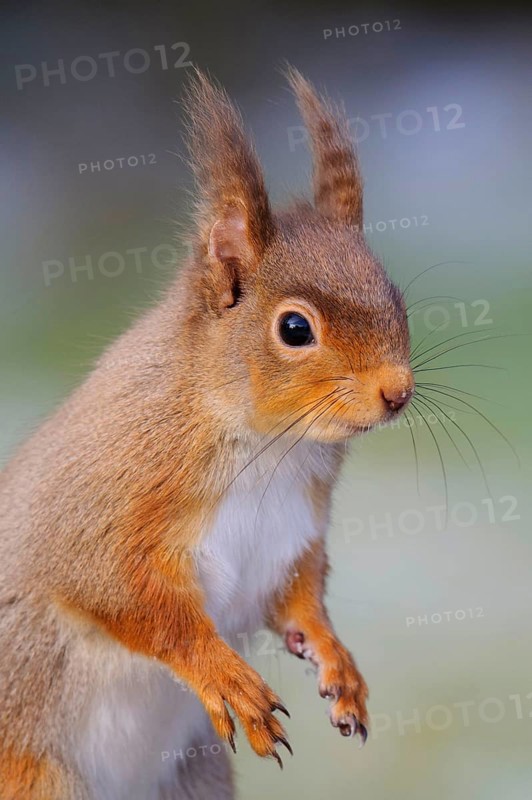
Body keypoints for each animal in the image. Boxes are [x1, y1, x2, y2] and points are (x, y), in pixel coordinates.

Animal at [0, 67, 414, 800]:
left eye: (396, 296)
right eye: (295, 328)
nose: (398, 393)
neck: (272, 446)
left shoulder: (290, 537)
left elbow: (298, 598)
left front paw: (335, 661)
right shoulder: (102, 500)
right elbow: (120, 593)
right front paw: (223, 675)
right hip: (36, 774)